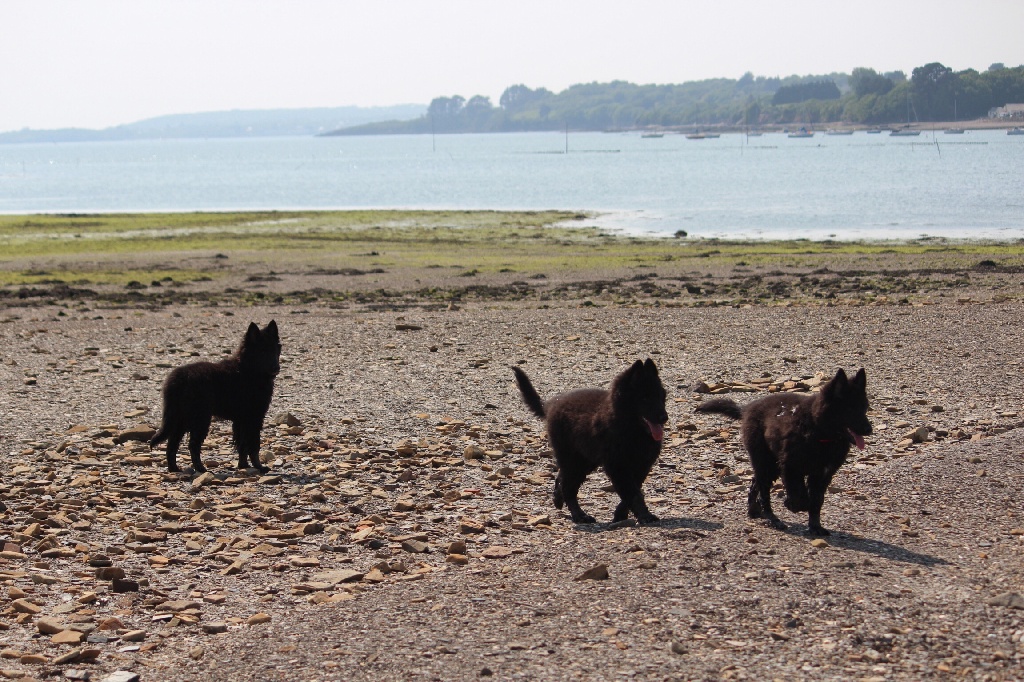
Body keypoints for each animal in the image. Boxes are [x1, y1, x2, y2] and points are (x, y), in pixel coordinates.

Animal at [149, 319, 282, 473]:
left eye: (275, 350)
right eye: (262, 351)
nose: (276, 368)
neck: (248, 370)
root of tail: (178, 379)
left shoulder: (241, 420)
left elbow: (242, 445)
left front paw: (244, 466)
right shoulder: (254, 417)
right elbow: (254, 445)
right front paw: (259, 467)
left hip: (181, 419)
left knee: (172, 444)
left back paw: (174, 468)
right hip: (200, 418)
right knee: (193, 444)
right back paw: (200, 468)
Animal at [512, 358, 671, 522]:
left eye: (661, 397)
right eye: (645, 398)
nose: (664, 418)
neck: (633, 431)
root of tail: (550, 405)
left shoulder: (642, 465)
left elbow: (633, 490)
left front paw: (621, 514)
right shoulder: (617, 465)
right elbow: (632, 493)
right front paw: (645, 515)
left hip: (585, 460)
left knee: (563, 478)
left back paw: (558, 499)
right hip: (573, 459)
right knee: (568, 487)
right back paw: (579, 515)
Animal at [692, 366, 868, 536]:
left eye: (865, 407)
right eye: (850, 408)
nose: (869, 430)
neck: (820, 434)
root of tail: (748, 408)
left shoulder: (823, 474)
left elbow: (816, 501)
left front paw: (815, 526)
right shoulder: (790, 466)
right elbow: (800, 495)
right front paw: (793, 505)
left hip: (770, 464)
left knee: (755, 482)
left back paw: (754, 510)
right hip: (765, 461)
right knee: (764, 492)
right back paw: (772, 518)